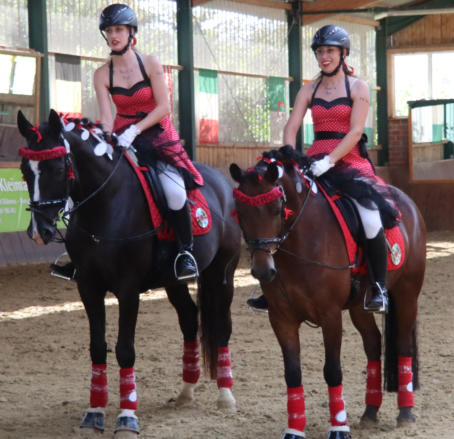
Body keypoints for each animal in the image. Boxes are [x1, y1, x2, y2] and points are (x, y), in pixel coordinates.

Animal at [17, 109, 241, 437]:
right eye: (25, 170)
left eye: (58, 168)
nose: (39, 232)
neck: (105, 204)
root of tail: (221, 182)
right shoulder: (88, 287)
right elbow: (98, 348)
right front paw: (94, 412)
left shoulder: (128, 289)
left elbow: (125, 350)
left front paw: (127, 417)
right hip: (173, 281)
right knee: (189, 320)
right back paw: (186, 393)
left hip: (221, 274)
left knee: (222, 327)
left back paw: (225, 396)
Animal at [229, 147, 425, 439]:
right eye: (240, 211)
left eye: (276, 209)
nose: (263, 271)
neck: (299, 241)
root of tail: (405, 200)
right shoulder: (281, 318)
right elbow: (292, 373)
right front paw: (294, 429)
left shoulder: (330, 315)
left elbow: (332, 371)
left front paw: (339, 428)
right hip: (359, 306)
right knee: (373, 343)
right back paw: (370, 412)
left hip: (407, 294)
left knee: (403, 345)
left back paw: (406, 413)